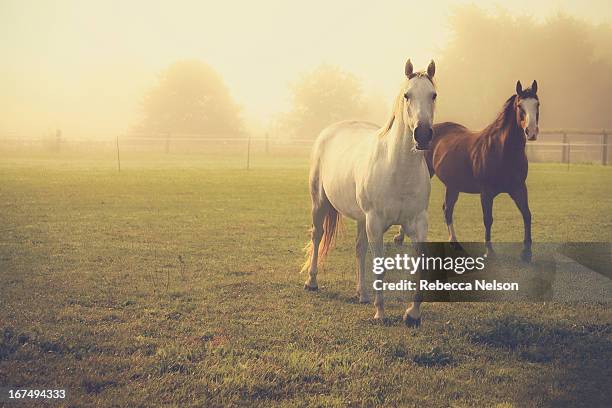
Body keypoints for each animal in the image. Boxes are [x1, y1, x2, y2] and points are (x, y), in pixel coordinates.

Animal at [300, 59, 436, 326]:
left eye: (433, 95)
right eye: (407, 95)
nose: (423, 134)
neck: (398, 170)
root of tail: (328, 132)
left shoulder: (418, 223)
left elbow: (419, 265)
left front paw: (412, 314)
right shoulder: (376, 223)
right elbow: (380, 266)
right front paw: (380, 313)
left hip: (361, 219)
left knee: (359, 249)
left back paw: (362, 293)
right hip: (319, 203)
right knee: (317, 236)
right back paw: (312, 281)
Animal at [394, 79, 536, 262]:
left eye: (537, 104)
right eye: (520, 106)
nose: (531, 132)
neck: (502, 150)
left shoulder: (519, 188)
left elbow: (527, 214)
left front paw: (526, 252)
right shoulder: (486, 192)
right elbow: (488, 219)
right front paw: (489, 252)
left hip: (453, 186)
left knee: (447, 210)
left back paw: (453, 242)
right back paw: (400, 237)